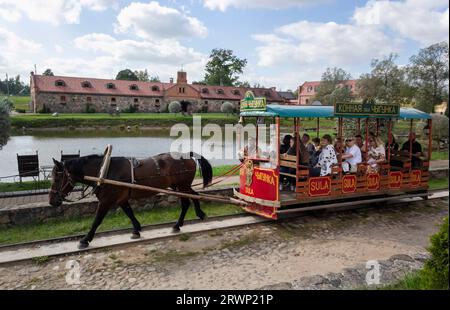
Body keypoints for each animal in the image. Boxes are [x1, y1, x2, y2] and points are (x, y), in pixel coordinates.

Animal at [49, 151, 213, 248]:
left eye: (57, 177)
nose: (52, 201)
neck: (104, 172)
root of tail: (188, 155)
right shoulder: (121, 199)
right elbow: (129, 213)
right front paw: (136, 230)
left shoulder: (106, 201)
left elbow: (97, 220)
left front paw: (85, 239)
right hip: (178, 186)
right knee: (193, 197)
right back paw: (194, 216)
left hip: (182, 185)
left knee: (187, 201)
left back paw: (181, 223)